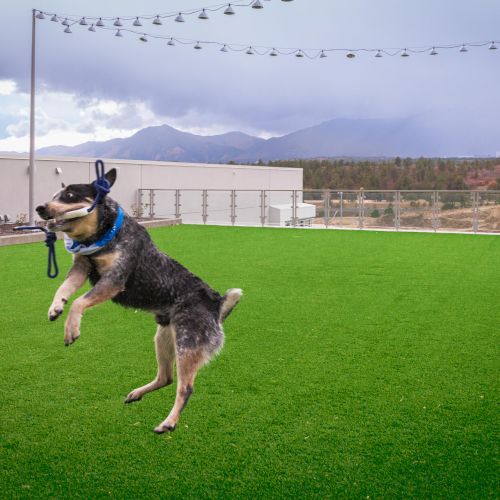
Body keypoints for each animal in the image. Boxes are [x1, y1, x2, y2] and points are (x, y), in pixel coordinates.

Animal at [36, 169, 243, 434]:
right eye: (54, 194)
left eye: (70, 195)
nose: (40, 207)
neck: (104, 234)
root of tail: (217, 305)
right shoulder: (81, 267)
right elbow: (63, 289)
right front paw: (55, 307)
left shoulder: (114, 280)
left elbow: (79, 302)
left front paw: (71, 329)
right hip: (164, 338)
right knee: (166, 377)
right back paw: (137, 394)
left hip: (187, 345)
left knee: (185, 388)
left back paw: (169, 422)